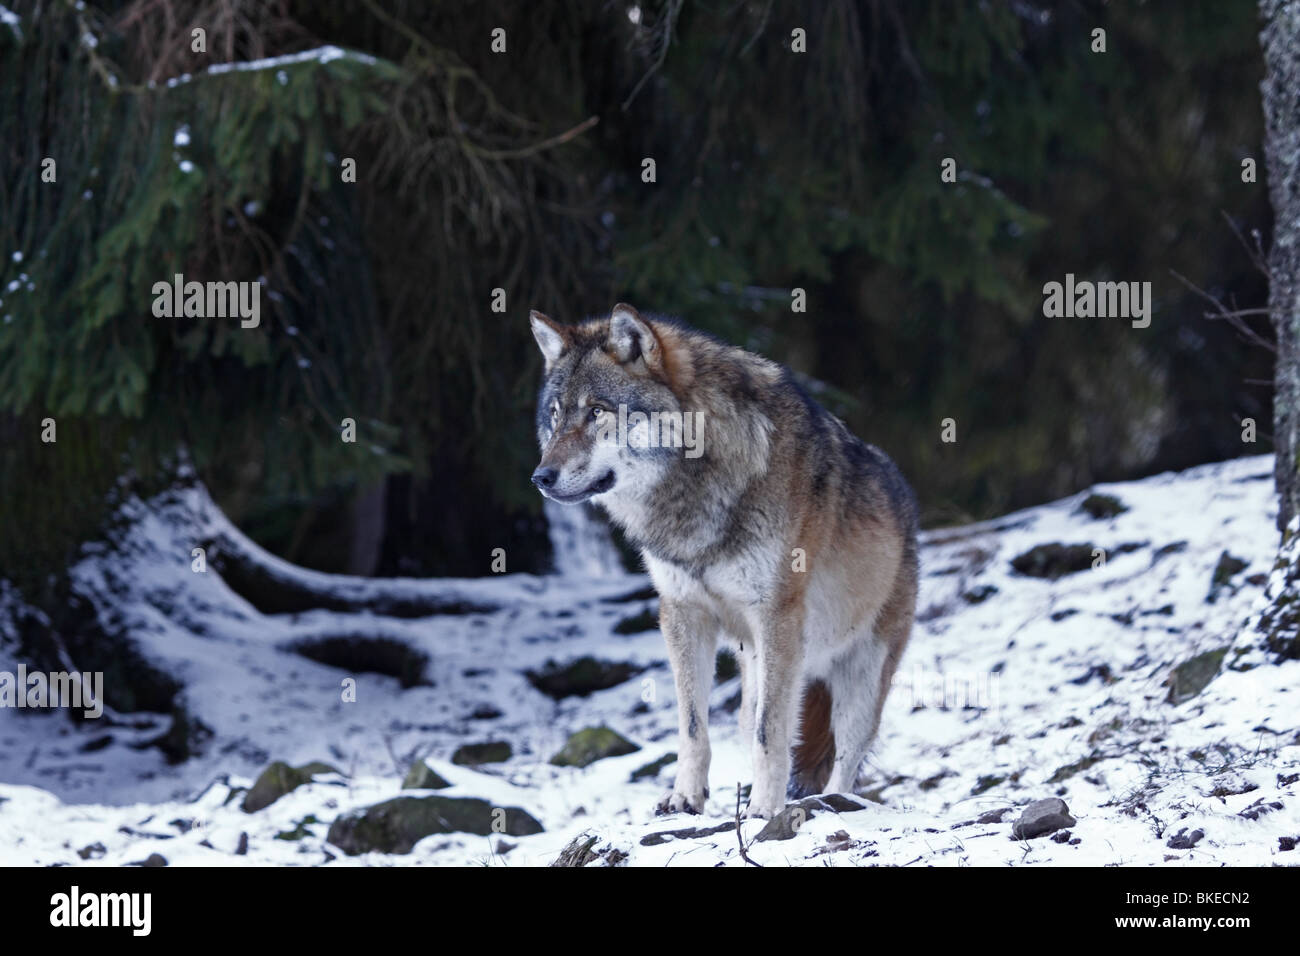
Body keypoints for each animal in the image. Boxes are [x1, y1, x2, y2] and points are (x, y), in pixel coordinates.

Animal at [525, 303, 915, 816]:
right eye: (555, 415)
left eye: (596, 412)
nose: (540, 477)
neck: (695, 486)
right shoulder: (683, 612)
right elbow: (694, 726)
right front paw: (685, 797)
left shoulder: (777, 615)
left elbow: (772, 735)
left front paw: (764, 811)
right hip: (757, 671)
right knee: (756, 722)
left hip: (860, 676)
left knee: (847, 750)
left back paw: (835, 801)